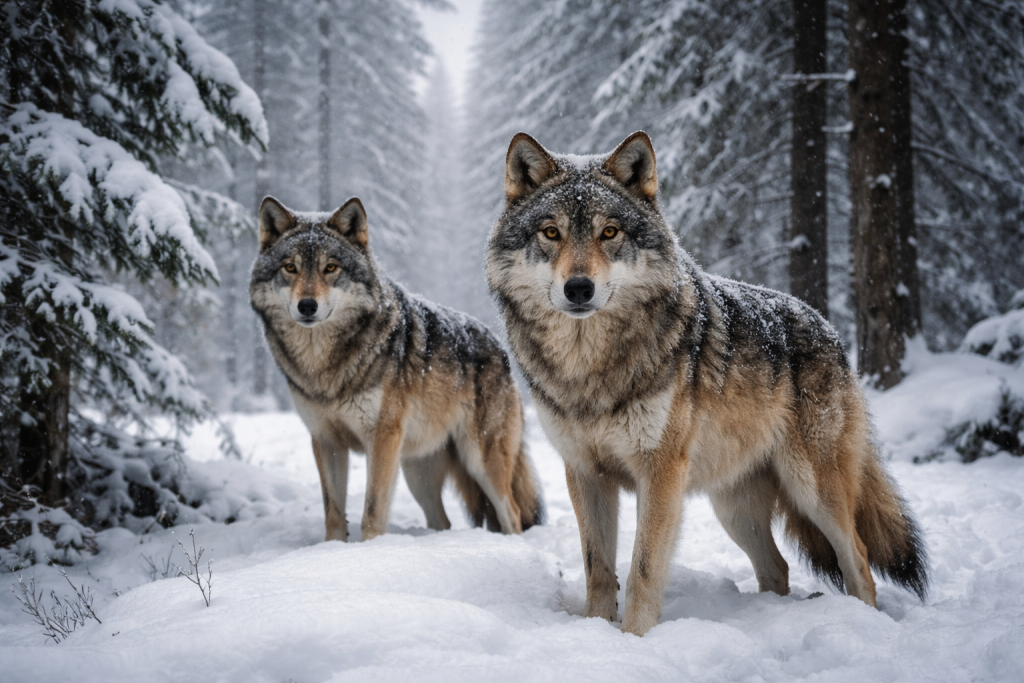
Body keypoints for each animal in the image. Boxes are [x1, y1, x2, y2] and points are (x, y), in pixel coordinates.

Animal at [251, 196, 543, 542]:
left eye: (331, 268)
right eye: (290, 268)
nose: (307, 306)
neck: (325, 366)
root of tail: (500, 347)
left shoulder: (381, 438)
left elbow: (372, 511)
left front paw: (371, 548)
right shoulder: (325, 440)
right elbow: (333, 514)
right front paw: (332, 549)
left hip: (479, 460)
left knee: (511, 512)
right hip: (416, 473)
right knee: (442, 520)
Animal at [487, 131, 927, 636]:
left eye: (610, 232)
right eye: (551, 233)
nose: (579, 288)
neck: (590, 369)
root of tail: (830, 328)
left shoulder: (660, 473)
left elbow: (642, 570)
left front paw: (634, 638)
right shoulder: (584, 472)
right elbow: (598, 569)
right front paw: (596, 631)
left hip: (813, 490)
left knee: (859, 559)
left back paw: (865, 623)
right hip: (734, 509)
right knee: (778, 567)